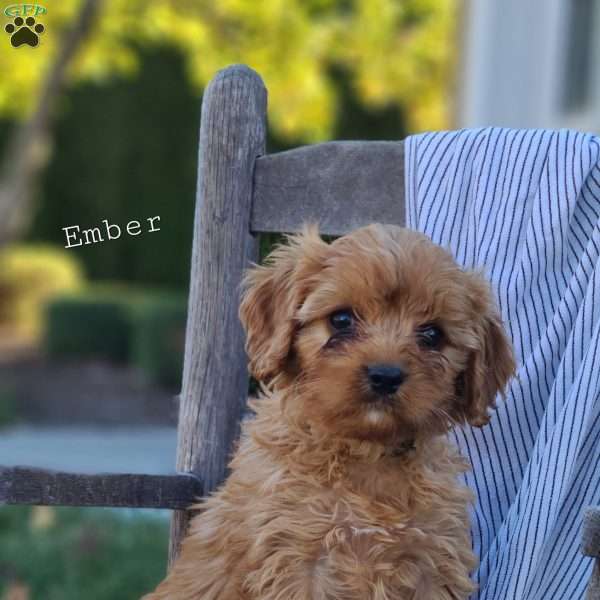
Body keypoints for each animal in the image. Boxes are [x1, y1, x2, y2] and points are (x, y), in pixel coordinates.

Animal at [145, 224, 516, 600]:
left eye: (432, 334)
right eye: (341, 319)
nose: (386, 375)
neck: (367, 455)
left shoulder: (432, 564)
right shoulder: (297, 562)